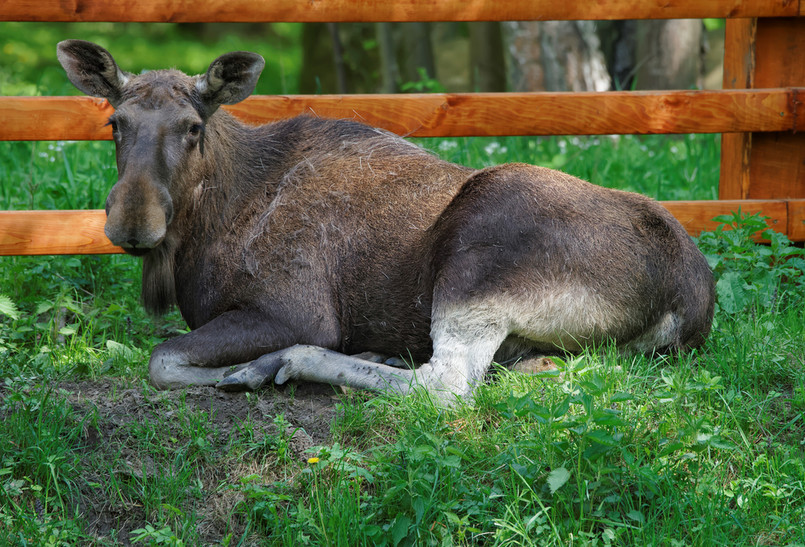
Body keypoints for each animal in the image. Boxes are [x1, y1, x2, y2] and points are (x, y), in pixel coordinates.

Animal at [59, 40, 712, 402]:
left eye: (193, 127)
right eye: (114, 122)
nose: (132, 222)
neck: (202, 235)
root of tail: (691, 299)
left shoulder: (295, 308)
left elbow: (161, 359)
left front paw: (242, 371)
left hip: (477, 261)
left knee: (444, 386)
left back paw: (286, 364)